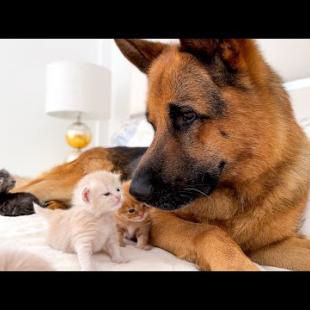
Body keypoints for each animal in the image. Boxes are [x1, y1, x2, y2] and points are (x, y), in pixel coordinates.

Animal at [16, 40, 310, 270]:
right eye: (152, 124)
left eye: (187, 115)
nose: (131, 191)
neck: (242, 189)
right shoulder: (161, 218)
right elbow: (208, 231)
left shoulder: (271, 244)